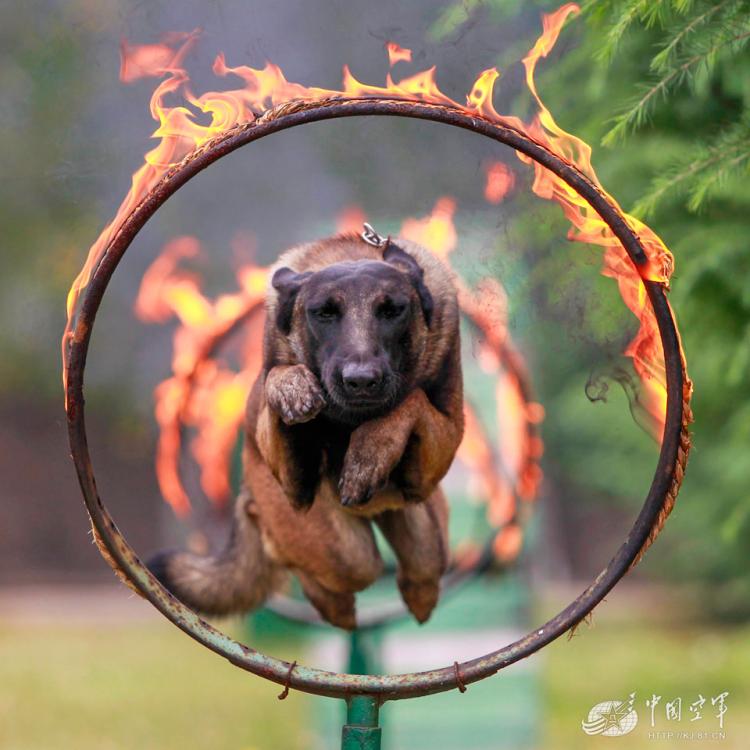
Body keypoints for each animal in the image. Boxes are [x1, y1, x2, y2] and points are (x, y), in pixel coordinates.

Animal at [150, 231, 464, 628]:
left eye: (392, 310)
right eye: (324, 313)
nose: (361, 381)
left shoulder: (442, 445)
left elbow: (412, 401)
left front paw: (367, 456)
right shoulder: (291, 479)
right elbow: (275, 379)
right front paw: (293, 388)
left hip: (422, 529)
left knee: (424, 562)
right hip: (329, 539)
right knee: (328, 560)